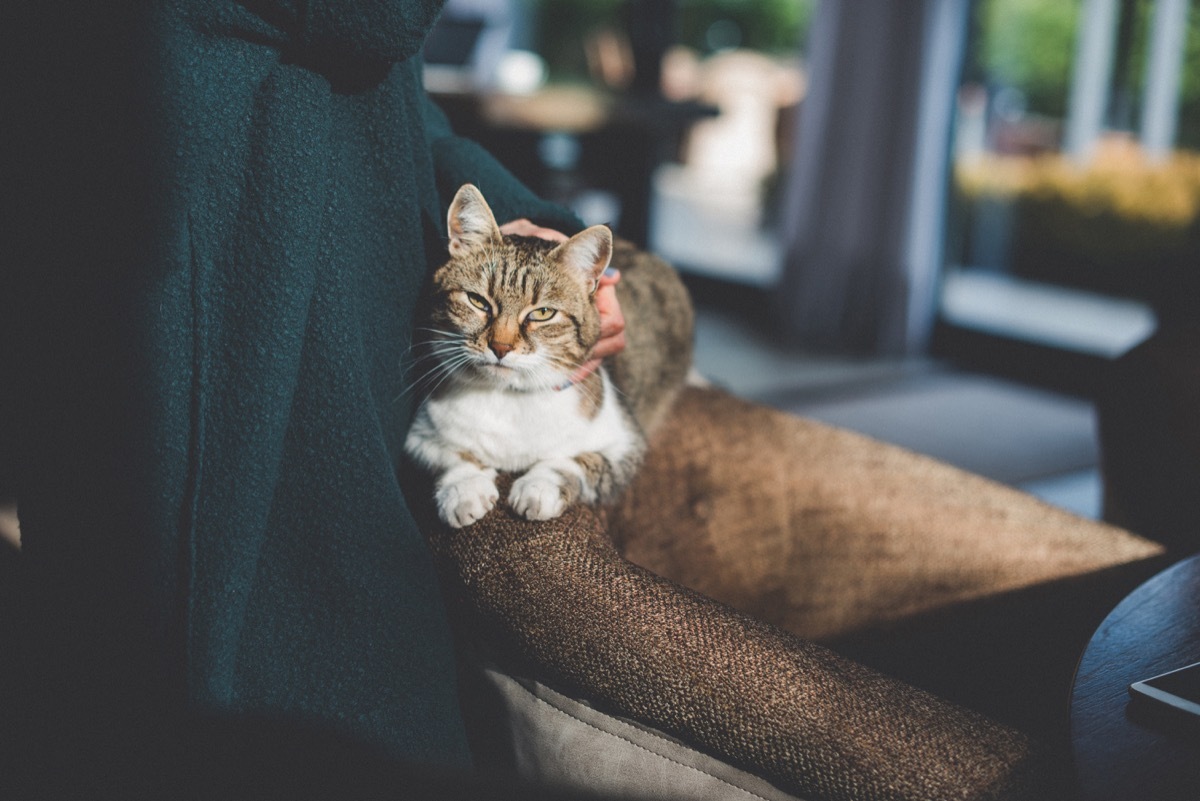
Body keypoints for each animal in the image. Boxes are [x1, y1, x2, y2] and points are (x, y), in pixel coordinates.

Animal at [408, 184, 672, 527]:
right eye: (478, 301)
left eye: (543, 313)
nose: (500, 347)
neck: (506, 397)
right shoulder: (418, 438)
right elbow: (450, 456)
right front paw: (464, 489)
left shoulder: (627, 445)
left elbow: (577, 461)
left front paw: (539, 487)